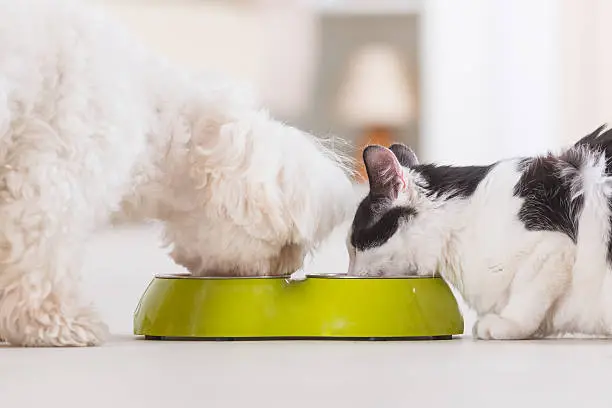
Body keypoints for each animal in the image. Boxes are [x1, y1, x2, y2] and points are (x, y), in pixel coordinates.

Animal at [0, 0, 354, 346]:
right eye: (288, 244)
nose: (288, 268)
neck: (155, 119)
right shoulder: (55, 172)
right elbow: (40, 254)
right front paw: (55, 323)